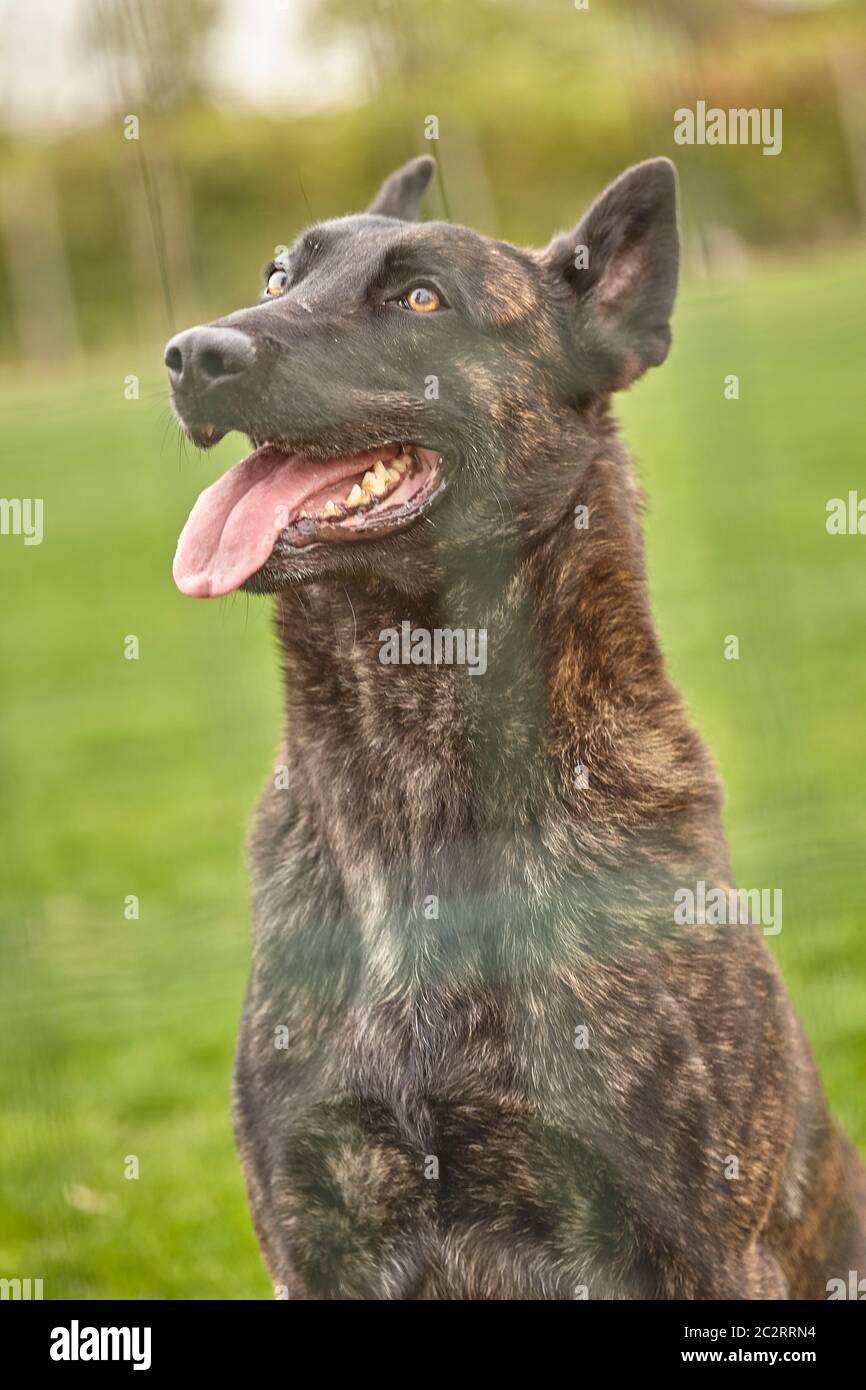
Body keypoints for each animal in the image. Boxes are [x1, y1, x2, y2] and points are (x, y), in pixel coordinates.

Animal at [164, 157, 866, 1295]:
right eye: (276, 276)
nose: (190, 356)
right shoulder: (314, 1242)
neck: (408, 775)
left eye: (420, 299)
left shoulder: (704, 1249)